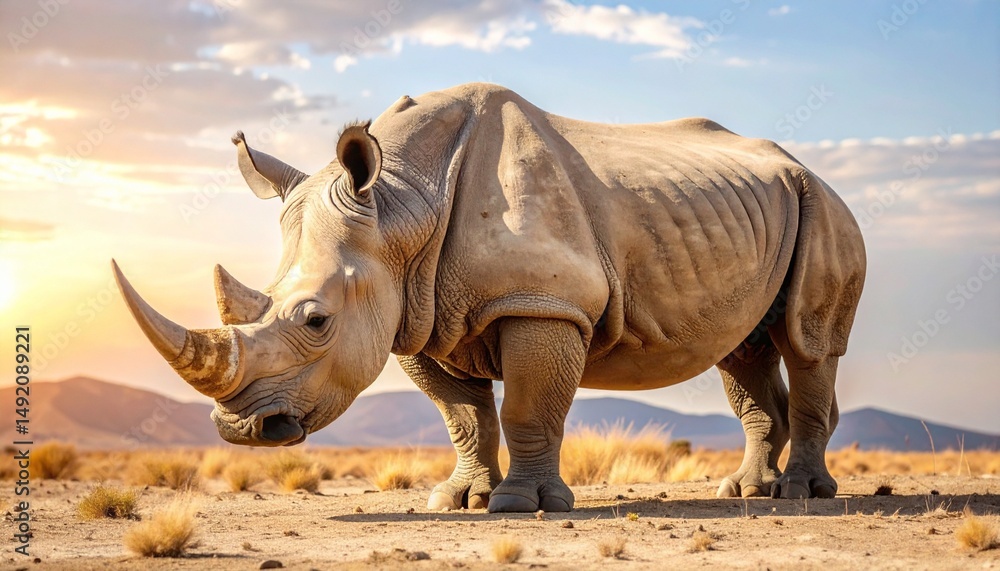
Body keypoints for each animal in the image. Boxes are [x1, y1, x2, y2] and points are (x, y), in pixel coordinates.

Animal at [114, 83, 865, 512]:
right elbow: (464, 415)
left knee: (809, 342)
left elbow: (529, 404)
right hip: (756, 212)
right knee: (741, 349)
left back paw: (799, 495)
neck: (401, 206)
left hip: (826, 207)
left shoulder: (543, 301)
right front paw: (458, 499)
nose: (242, 429)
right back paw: (747, 492)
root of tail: (808, 170)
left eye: (316, 320)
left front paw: (519, 505)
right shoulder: (415, 315)